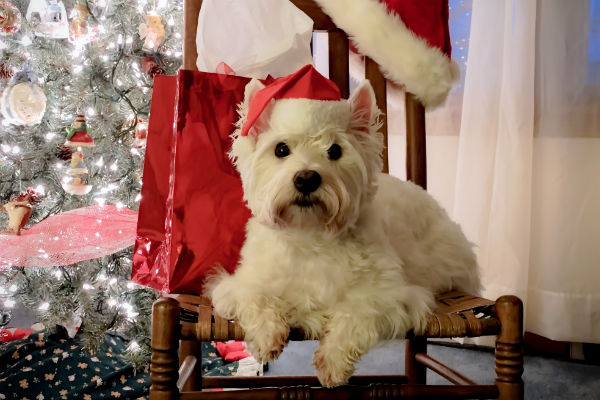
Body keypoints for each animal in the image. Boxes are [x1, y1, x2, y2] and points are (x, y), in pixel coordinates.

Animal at [205, 72, 478, 388]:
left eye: (335, 150)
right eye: (281, 149)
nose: (306, 178)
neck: (310, 233)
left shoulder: (394, 295)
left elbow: (356, 312)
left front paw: (332, 364)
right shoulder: (241, 283)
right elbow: (255, 297)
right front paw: (265, 338)